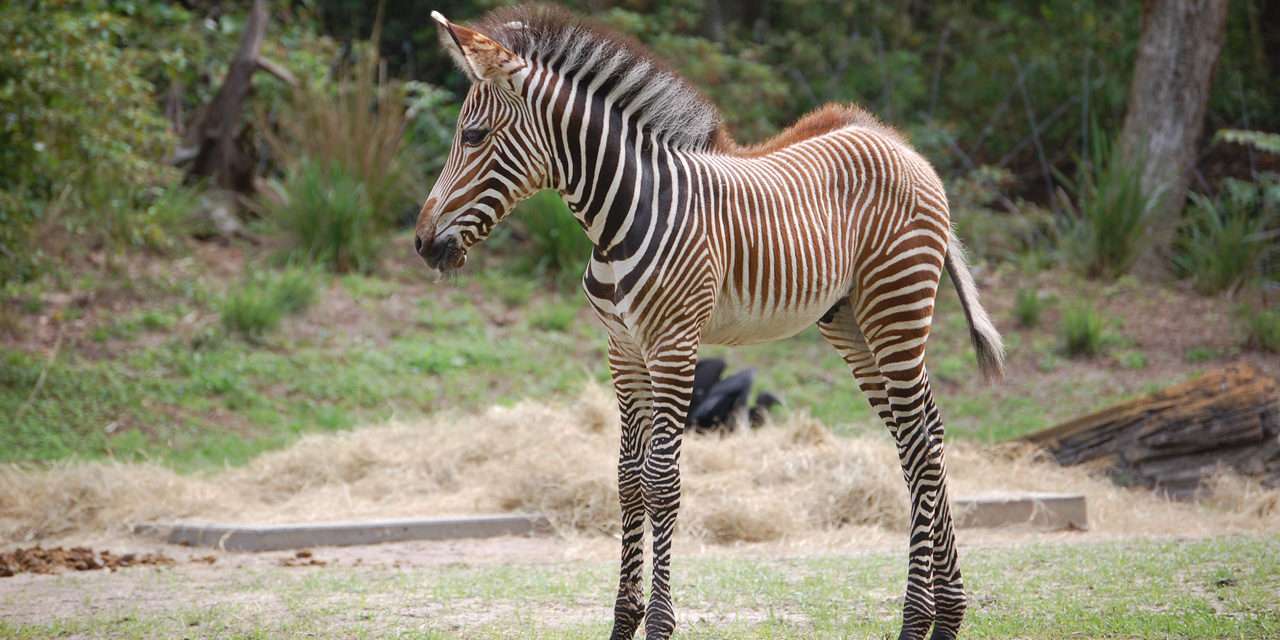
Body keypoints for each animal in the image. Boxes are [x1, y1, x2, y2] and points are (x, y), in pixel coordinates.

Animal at [414, 6, 1003, 640]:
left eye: (473, 136)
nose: (422, 244)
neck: (621, 217)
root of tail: (898, 143)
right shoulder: (624, 350)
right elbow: (627, 481)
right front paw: (624, 622)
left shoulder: (674, 346)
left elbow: (661, 483)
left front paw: (659, 624)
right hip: (850, 323)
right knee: (924, 437)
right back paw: (948, 614)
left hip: (896, 307)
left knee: (919, 444)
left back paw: (918, 620)